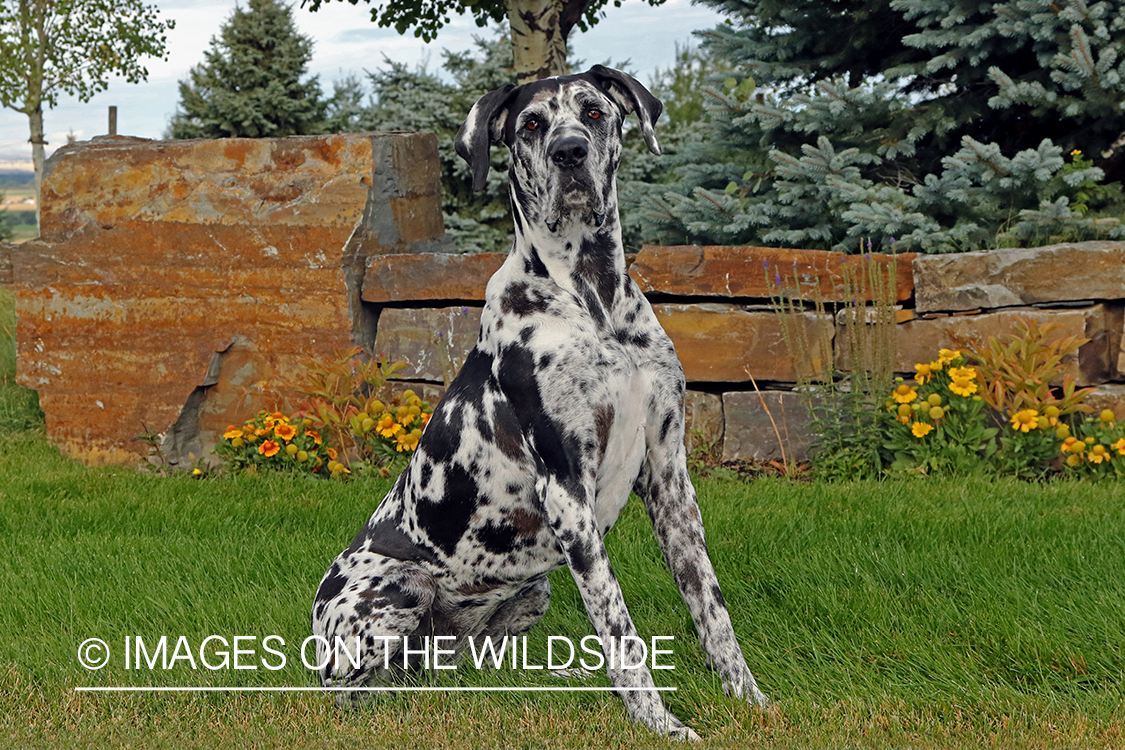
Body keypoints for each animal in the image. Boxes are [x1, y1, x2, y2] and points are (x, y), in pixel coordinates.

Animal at [312, 64, 769, 737]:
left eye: (594, 111)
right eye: (531, 124)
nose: (569, 152)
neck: (592, 299)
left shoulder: (670, 477)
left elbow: (711, 608)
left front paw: (751, 700)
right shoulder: (566, 488)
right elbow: (619, 629)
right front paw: (661, 725)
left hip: (530, 594)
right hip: (398, 587)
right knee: (346, 690)